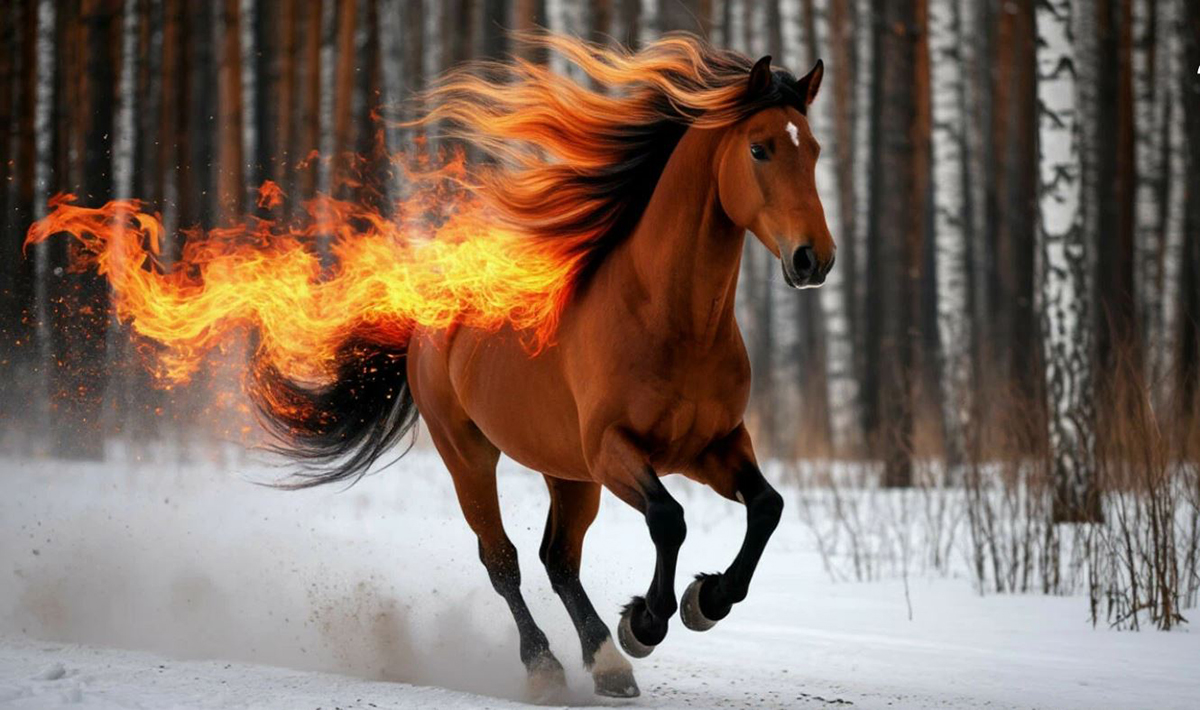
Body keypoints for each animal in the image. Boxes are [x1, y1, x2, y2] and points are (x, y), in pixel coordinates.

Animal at [28, 33, 834, 701]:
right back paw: (552, 667)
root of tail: (426, 319)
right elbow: (669, 519)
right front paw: (650, 620)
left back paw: (605, 667)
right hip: (473, 453)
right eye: (761, 149)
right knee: (504, 559)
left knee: (557, 558)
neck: (668, 319)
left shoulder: (713, 445)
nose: (813, 260)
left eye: (817, 150)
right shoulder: (616, 450)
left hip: (564, 469)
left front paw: (704, 601)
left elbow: (767, 507)